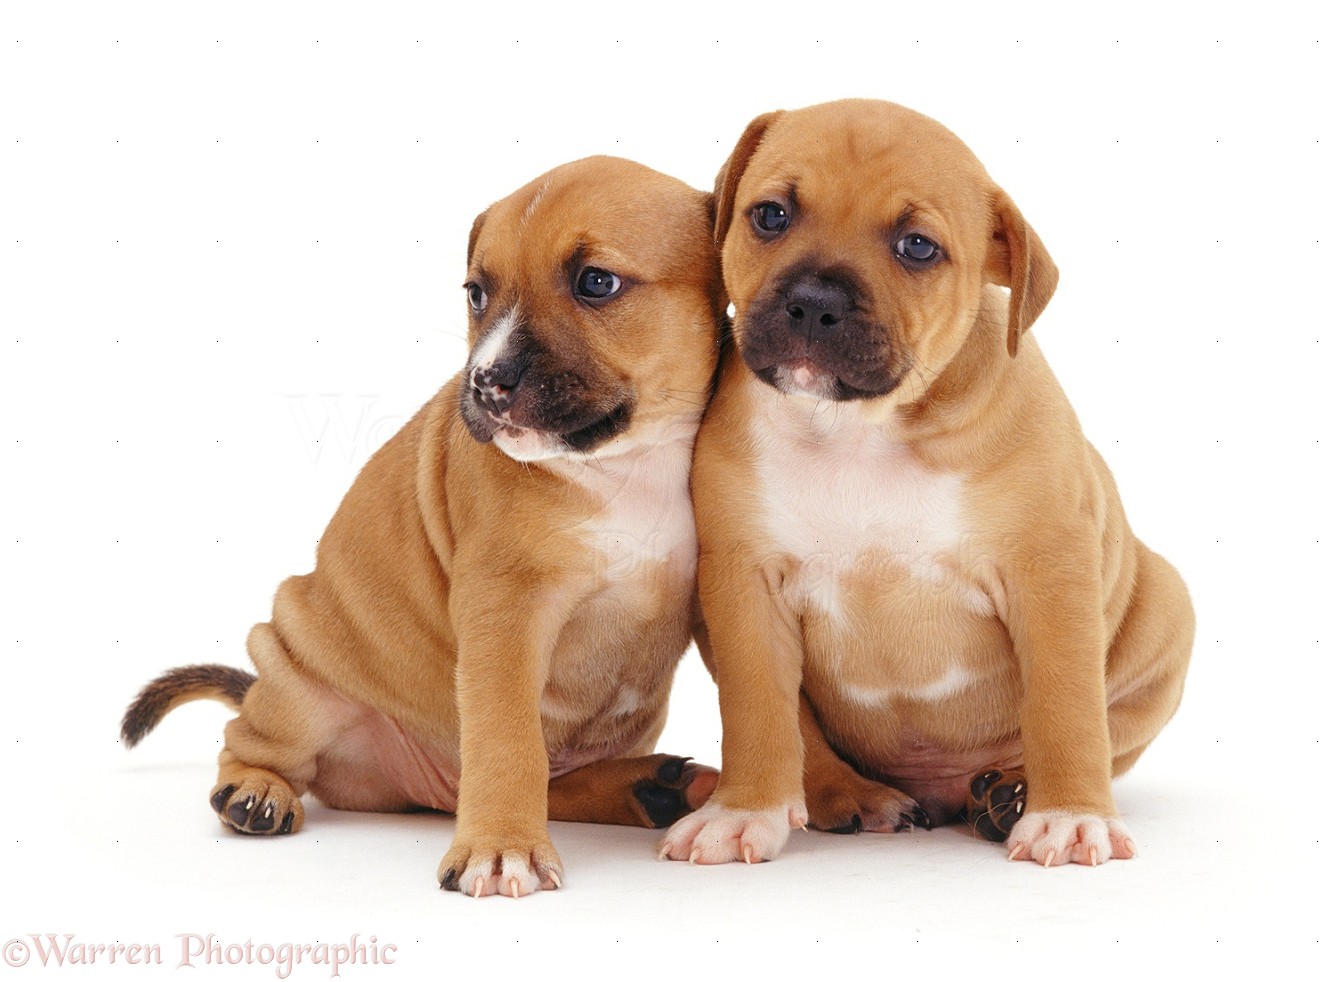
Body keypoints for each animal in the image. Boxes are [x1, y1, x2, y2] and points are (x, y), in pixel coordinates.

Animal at [124, 155, 725, 896]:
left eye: (597, 283)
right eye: (476, 293)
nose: (486, 383)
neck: (629, 466)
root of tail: (433, 793)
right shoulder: (505, 611)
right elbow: (508, 740)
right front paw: (502, 847)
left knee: (561, 781)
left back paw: (656, 787)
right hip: (297, 681)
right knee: (248, 736)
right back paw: (256, 791)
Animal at [661, 100, 1195, 864]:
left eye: (917, 247)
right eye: (770, 216)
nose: (814, 300)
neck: (858, 429)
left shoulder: (1051, 573)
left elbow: (1065, 705)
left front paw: (1067, 813)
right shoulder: (742, 583)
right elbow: (760, 708)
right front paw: (744, 810)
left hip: (1167, 613)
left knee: (1106, 727)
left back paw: (1010, 794)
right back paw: (854, 795)